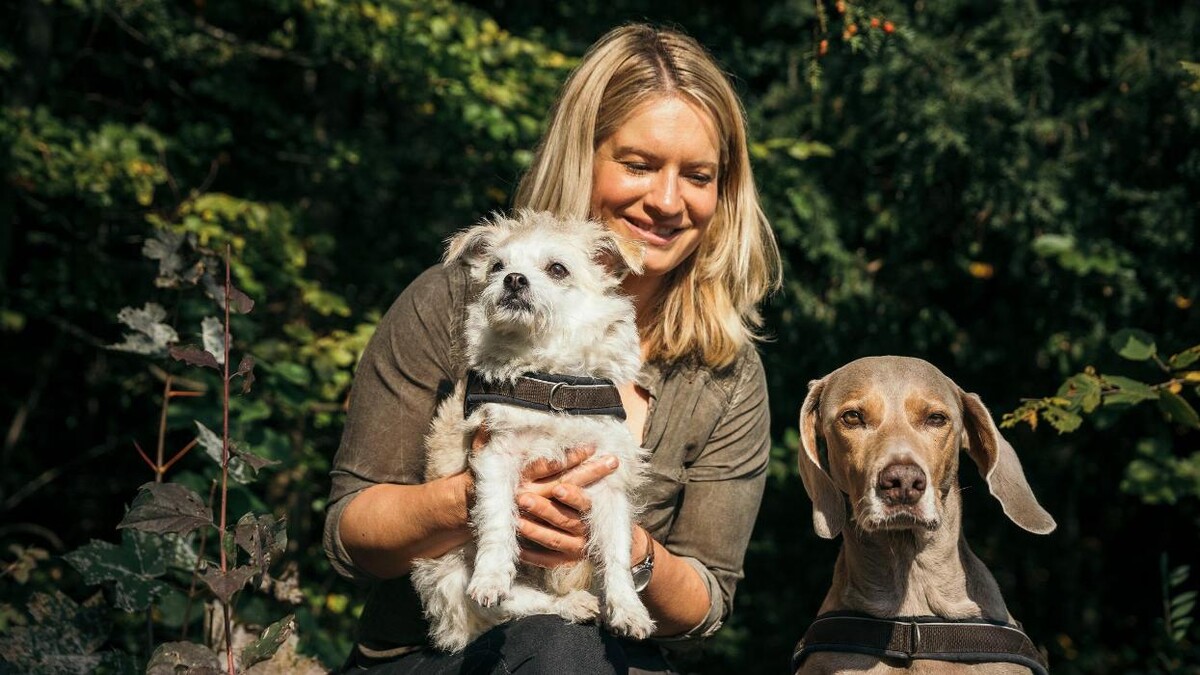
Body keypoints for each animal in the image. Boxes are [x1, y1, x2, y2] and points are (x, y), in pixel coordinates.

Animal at [412, 210, 657, 653]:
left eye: (557, 269)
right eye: (496, 266)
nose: (513, 279)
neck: (553, 380)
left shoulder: (608, 481)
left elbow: (616, 551)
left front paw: (629, 609)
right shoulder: (496, 456)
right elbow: (497, 520)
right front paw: (491, 575)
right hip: (448, 574)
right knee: (509, 605)